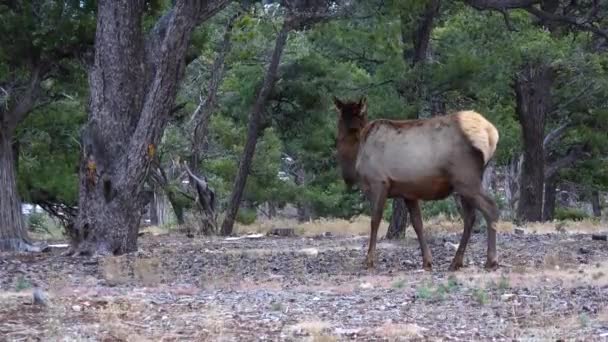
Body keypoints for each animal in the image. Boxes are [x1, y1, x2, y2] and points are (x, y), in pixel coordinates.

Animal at [334, 95, 502, 272]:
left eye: (345, 123)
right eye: (342, 119)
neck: (357, 156)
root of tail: (491, 134)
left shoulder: (378, 183)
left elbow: (375, 221)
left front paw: (369, 260)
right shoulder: (409, 192)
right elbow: (417, 224)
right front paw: (427, 261)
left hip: (466, 179)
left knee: (490, 208)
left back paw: (491, 260)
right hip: (463, 185)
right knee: (470, 217)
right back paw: (456, 262)